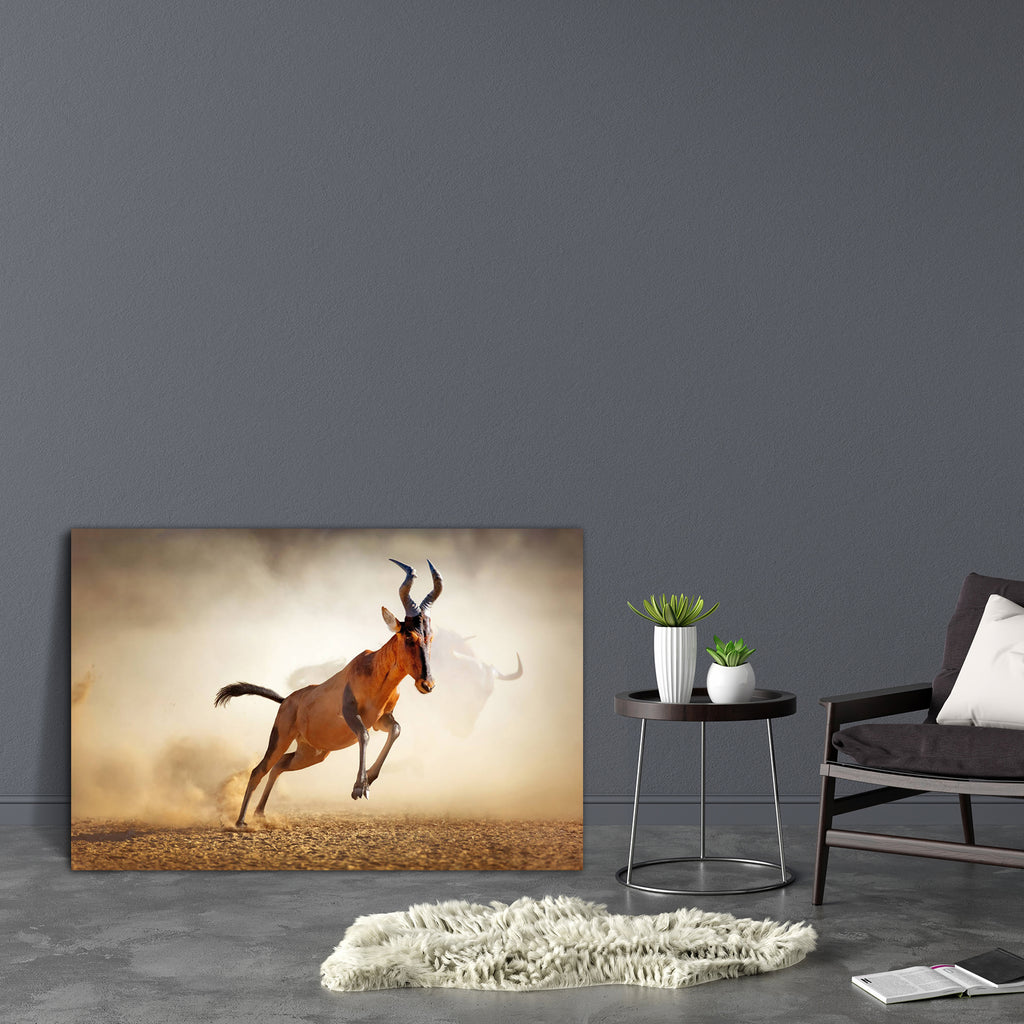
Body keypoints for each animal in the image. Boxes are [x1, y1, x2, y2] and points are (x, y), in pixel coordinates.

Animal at [214, 558, 442, 828]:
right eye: (409, 635)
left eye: (430, 636)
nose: (427, 684)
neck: (372, 669)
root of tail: (286, 700)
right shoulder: (351, 714)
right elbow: (364, 736)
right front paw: (359, 788)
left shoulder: (382, 720)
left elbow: (395, 730)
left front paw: (368, 779)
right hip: (281, 737)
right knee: (260, 769)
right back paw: (240, 822)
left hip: (312, 753)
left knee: (280, 765)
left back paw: (260, 813)